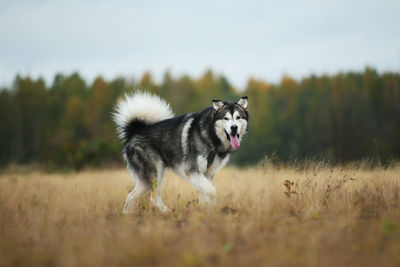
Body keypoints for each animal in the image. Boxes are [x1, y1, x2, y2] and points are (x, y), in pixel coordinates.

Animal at [112, 92, 248, 214]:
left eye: (238, 117)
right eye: (226, 118)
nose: (234, 127)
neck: (211, 135)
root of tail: (134, 132)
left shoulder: (207, 174)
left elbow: (204, 194)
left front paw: (205, 210)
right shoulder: (191, 171)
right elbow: (212, 191)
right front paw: (211, 208)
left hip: (146, 181)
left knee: (131, 196)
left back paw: (127, 216)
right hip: (157, 173)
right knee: (154, 198)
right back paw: (167, 211)